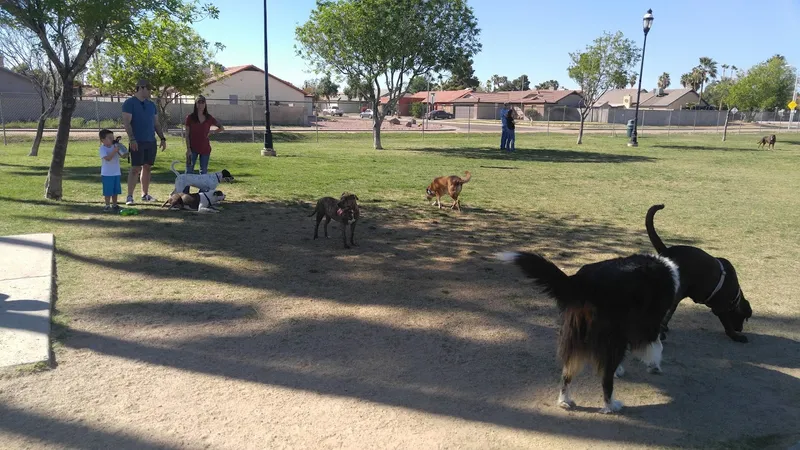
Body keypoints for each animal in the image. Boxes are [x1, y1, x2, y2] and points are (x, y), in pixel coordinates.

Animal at [496, 251, 680, 414]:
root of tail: (582, 282)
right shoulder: (649, 325)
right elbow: (657, 346)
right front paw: (654, 365)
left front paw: (623, 369)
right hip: (613, 337)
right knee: (606, 379)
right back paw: (611, 405)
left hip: (576, 337)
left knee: (567, 372)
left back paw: (564, 400)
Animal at [648, 206, 752, 342]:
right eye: (744, 317)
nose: (740, 329)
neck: (735, 295)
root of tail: (667, 252)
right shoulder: (721, 308)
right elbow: (727, 325)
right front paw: (736, 336)